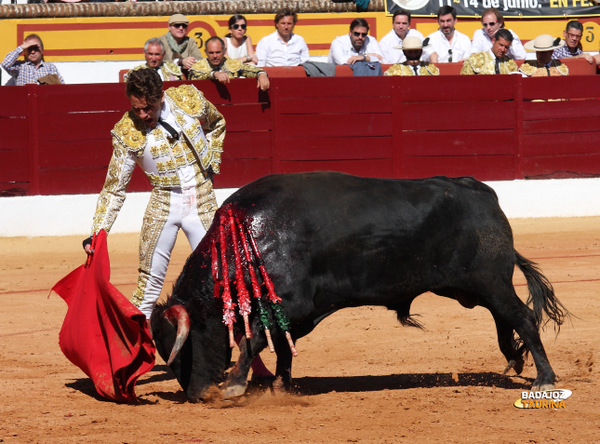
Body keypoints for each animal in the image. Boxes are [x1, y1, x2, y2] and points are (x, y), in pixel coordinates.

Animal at [150, 173, 568, 402]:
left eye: (184, 348)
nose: (196, 395)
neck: (245, 241)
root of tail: (483, 192)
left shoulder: (289, 303)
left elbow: (252, 340)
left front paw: (236, 385)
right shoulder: (289, 313)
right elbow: (281, 346)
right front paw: (280, 385)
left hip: (489, 279)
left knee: (523, 317)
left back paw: (544, 378)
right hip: (475, 287)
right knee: (504, 319)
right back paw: (515, 360)